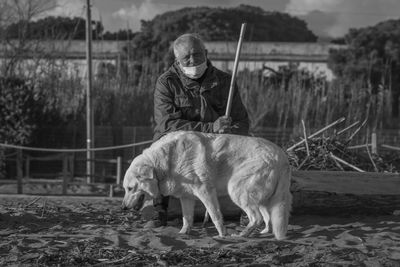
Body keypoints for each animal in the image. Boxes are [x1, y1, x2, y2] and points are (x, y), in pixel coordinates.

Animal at [120, 131, 292, 240]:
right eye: (125, 189)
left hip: (237, 191)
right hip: (261, 198)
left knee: (256, 218)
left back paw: (241, 235)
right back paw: (262, 233)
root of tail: (282, 157)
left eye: (130, 188)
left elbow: (215, 216)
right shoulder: (186, 197)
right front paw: (183, 233)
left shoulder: (206, 191)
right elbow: (187, 218)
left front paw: (222, 235)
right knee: (267, 219)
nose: (123, 208)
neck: (165, 163)